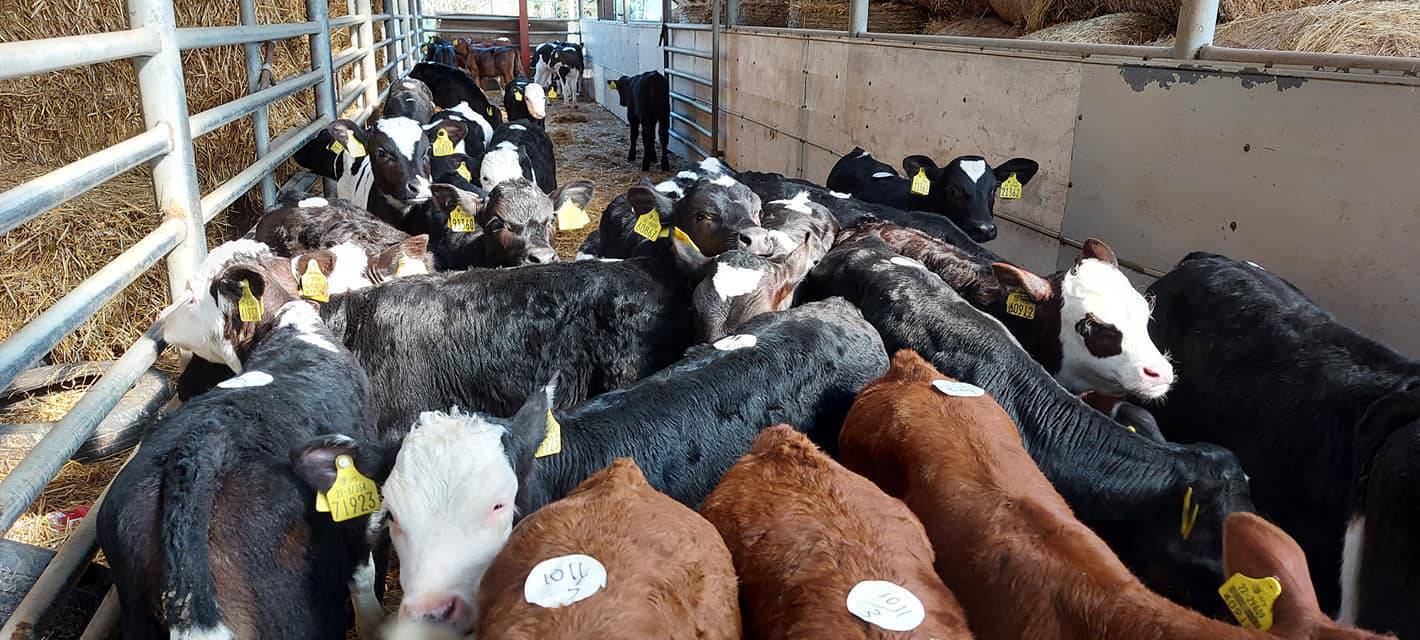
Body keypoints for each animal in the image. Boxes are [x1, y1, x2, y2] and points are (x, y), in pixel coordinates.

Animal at [102, 248, 381, 640]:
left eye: (191, 295)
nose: (162, 319)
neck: (288, 329)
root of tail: (197, 451)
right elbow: (363, 581)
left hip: (136, 611)